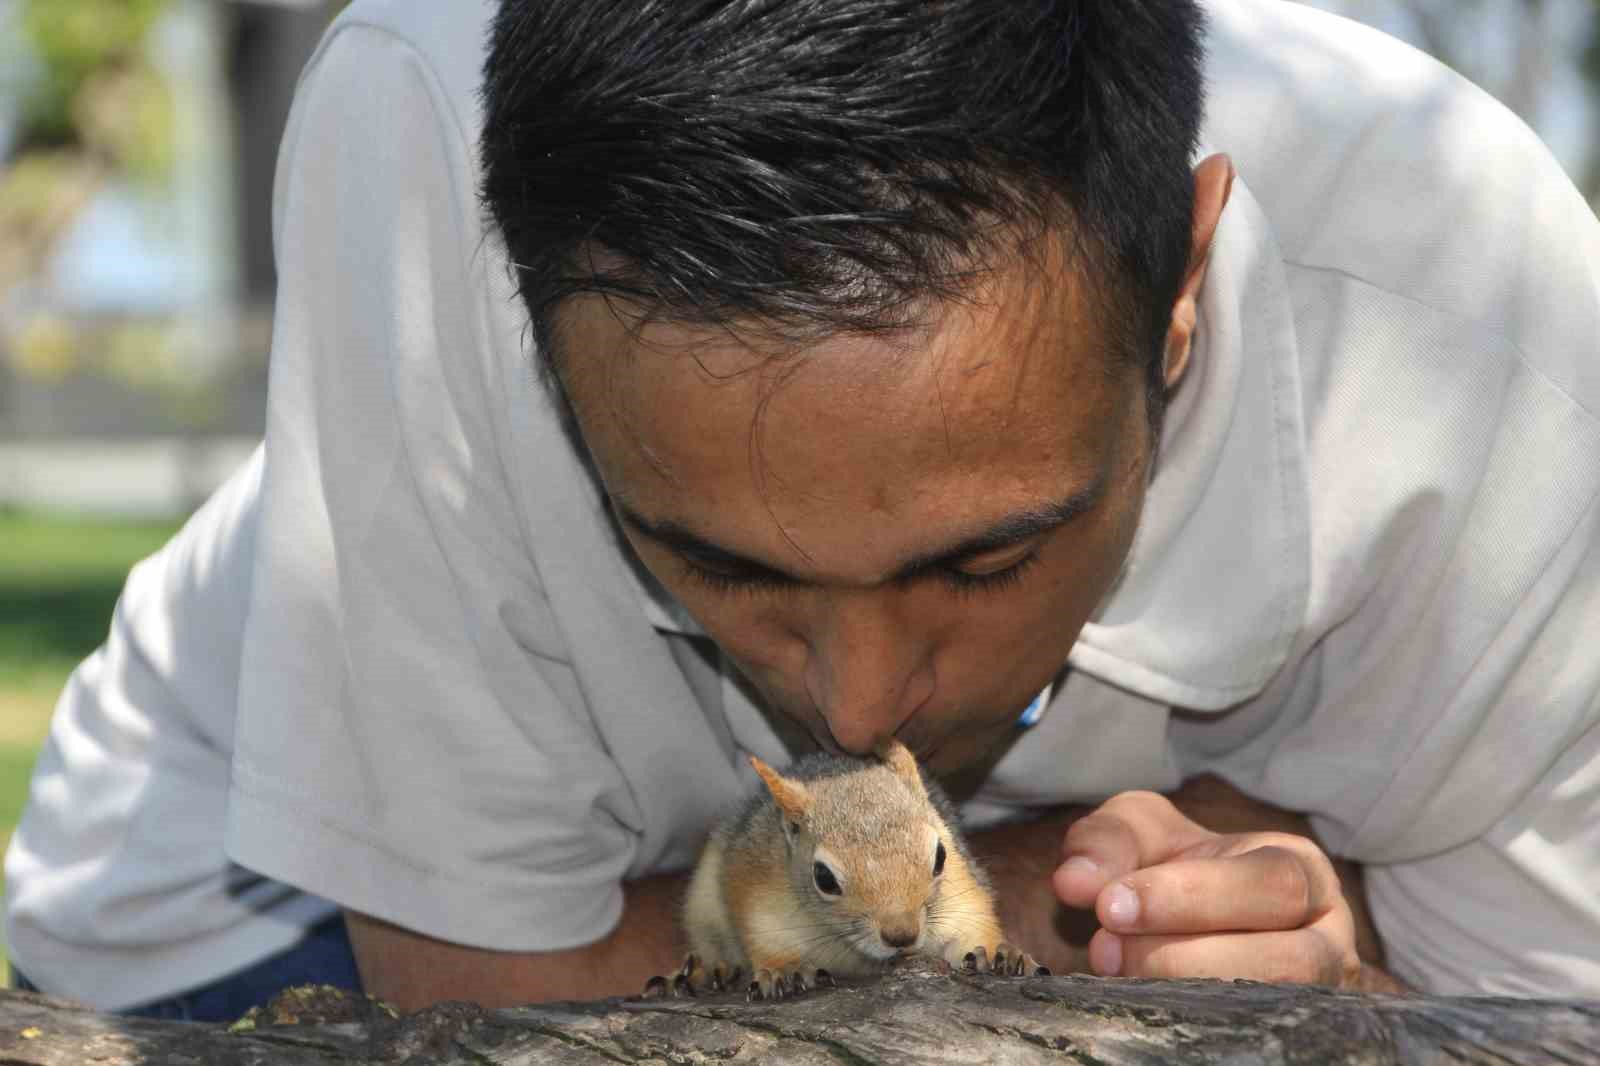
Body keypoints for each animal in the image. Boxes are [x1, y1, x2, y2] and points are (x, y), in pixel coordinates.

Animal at [643, 736, 1043, 998]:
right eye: (823, 878)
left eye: (941, 855)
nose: (902, 935)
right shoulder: (761, 893)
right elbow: (767, 936)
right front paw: (787, 968)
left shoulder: (960, 889)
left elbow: (972, 925)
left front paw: (999, 951)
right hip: (702, 904)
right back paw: (705, 971)